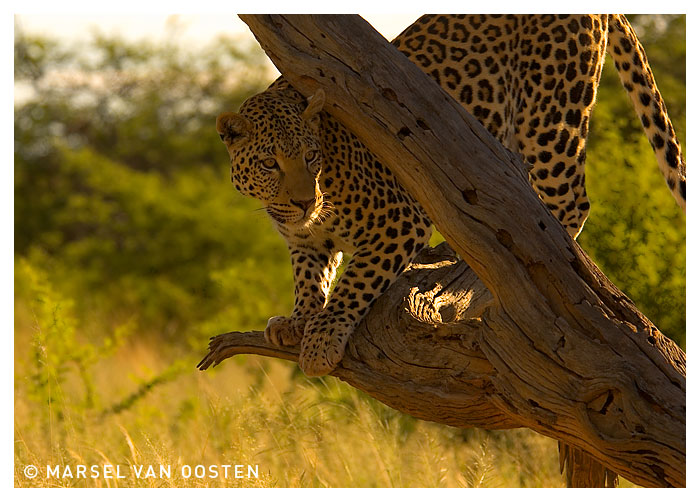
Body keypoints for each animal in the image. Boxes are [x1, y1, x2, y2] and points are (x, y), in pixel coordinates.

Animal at [216, 14, 685, 377]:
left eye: (311, 157)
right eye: (270, 164)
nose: (304, 202)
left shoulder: (398, 220)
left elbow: (355, 281)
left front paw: (323, 338)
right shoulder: (305, 240)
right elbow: (309, 278)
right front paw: (297, 320)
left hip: (552, 115)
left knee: (563, 206)